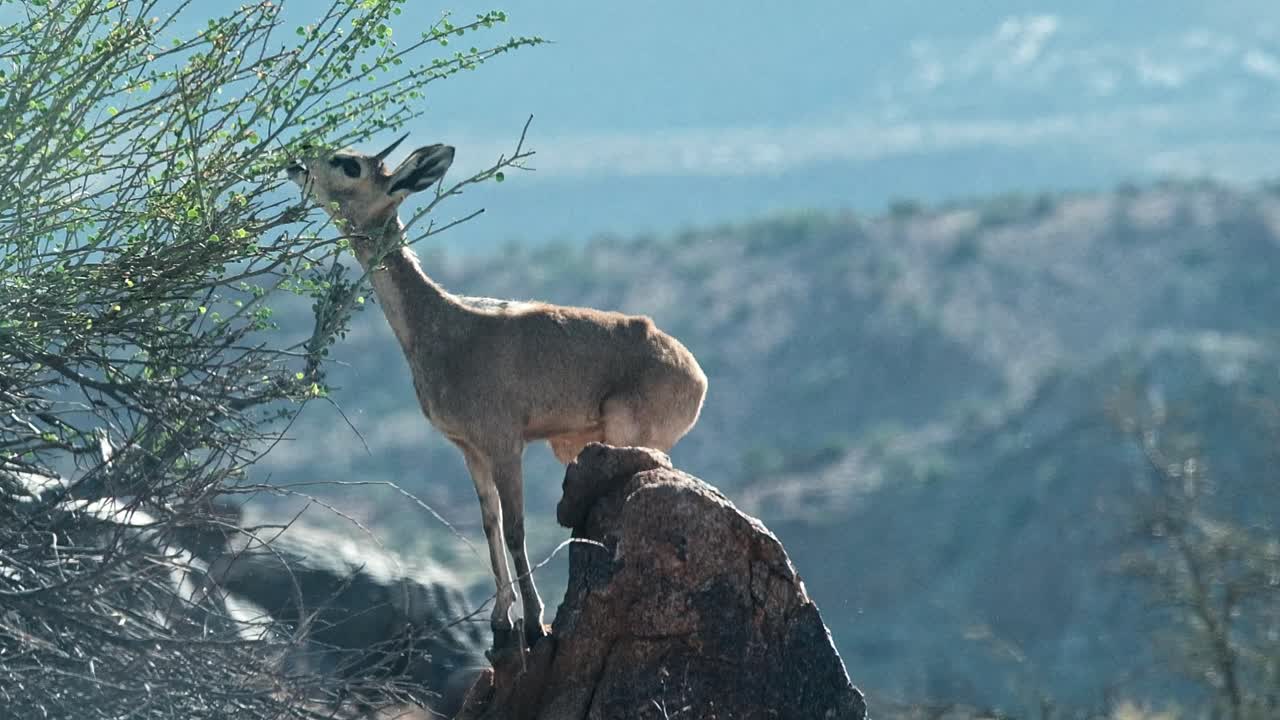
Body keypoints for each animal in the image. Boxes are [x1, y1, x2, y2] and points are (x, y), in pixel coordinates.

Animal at [286, 135, 708, 652]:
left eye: (349, 165)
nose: (296, 162)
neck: (443, 327)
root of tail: (694, 372)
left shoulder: (506, 445)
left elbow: (515, 529)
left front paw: (533, 623)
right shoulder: (470, 451)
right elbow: (489, 526)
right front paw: (500, 620)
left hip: (626, 436)